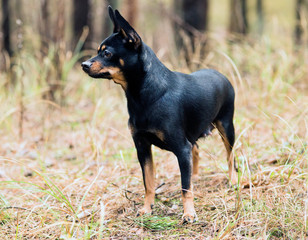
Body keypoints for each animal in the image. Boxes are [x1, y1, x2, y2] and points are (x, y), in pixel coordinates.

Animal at [81, 6, 236, 223]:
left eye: (107, 53)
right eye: (97, 52)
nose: (84, 65)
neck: (144, 96)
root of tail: (221, 75)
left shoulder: (181, 148)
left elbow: (184, 188)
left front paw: (189, 213)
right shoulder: (142, 148)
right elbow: (149, 183)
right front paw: (147, 209)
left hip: (227, 127)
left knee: (231, 156)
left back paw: (234, 180)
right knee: (196, 151)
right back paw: (196, 177)